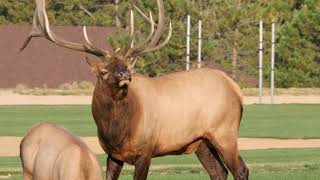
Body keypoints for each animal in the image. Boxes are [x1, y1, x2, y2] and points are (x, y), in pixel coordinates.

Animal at [20, 0, 250, 180]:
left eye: (127, 66)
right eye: (103, 71)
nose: (125, 75)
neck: (117, 130)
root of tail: (235, 88)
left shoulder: (146, 151)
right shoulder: (113, 154)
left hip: (225, 132)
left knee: (241, 170)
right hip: (201, 141)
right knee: (219, 171)